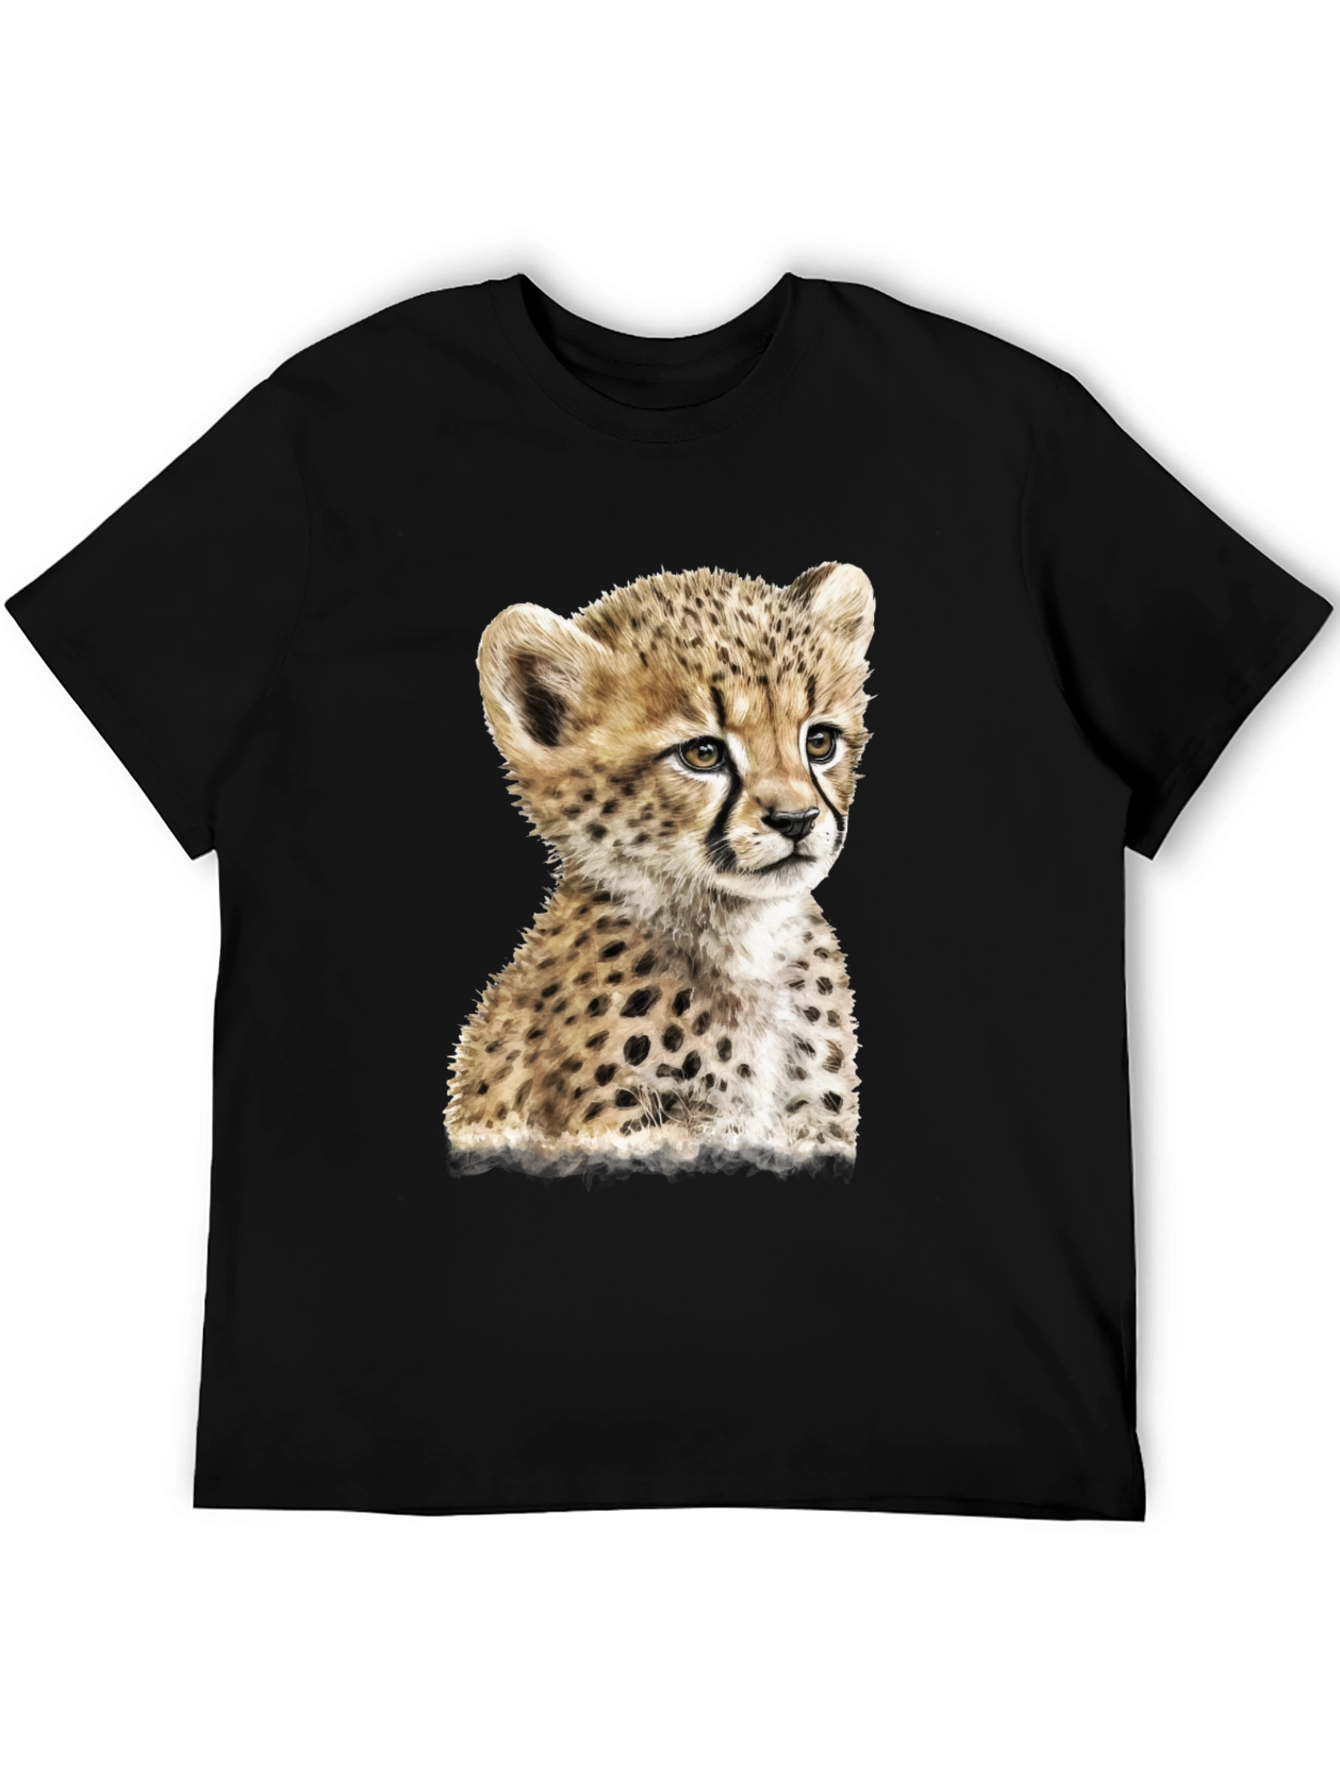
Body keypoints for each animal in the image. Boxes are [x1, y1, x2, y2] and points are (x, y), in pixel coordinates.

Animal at [445, 561, 875, 1170]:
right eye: (702, 754)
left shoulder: (813, 1124)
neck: (744, 937)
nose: (796, 820)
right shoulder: (623, 1130)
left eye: (819, 741)